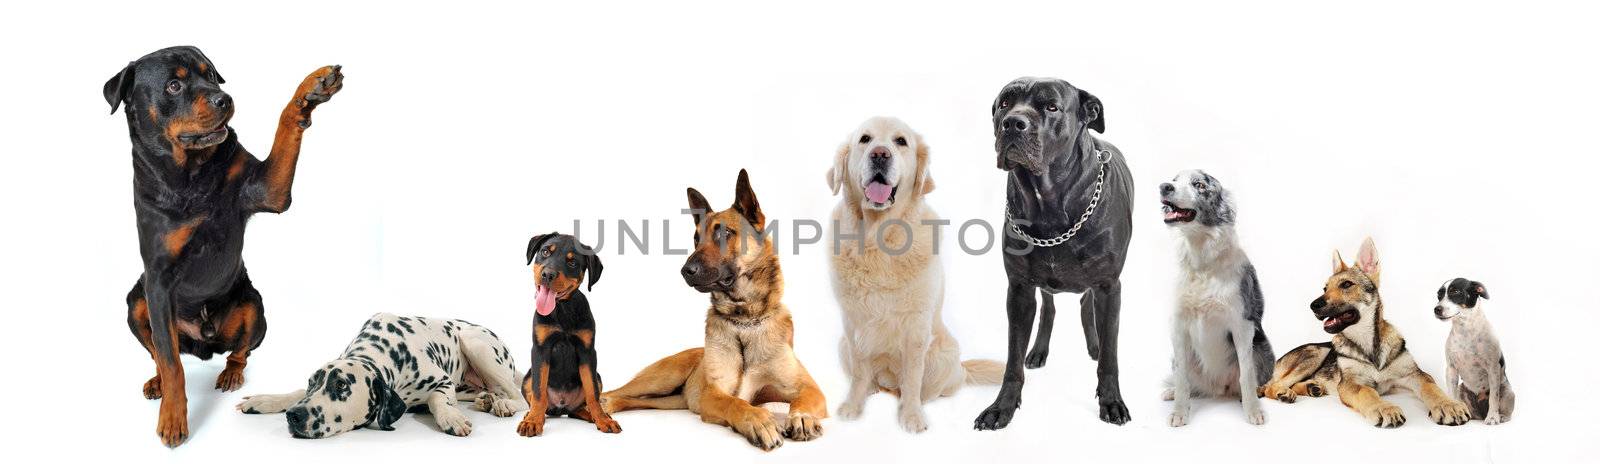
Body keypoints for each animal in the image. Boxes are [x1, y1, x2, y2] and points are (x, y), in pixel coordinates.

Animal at [104, 46, 342, 444]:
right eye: (174, 85)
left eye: (212, 76)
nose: (224, 99)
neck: (191, 173)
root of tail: (202, 345)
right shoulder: (158, 280)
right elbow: (170, 361)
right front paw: (173, 417)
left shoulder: (269, 190)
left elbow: (285, 127)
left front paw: (311, 88)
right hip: (136, 302)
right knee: (161, 352)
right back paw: (157, 382)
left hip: (253, 304)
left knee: (240, 350)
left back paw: (231, 373)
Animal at [236, 313, 524, 438]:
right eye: (312, 383)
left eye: (342, 385)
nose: (294, 416)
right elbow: (295, 391)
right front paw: (264, 400)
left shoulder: (442, 381)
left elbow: (436, 399)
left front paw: (450, 417)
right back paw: (487, 400)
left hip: (476, 345)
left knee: (518, 395)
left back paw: (503, 404)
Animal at [512, 233, 617, 438]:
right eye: (545, 252)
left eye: (573, 262)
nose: (547, 274)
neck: (562, 309)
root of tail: (561, 407)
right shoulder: (540, 349)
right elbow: (538, 392)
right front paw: (532, 422)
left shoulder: (587, 352)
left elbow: (593, 393)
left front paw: (603, 419)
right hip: (528, 376)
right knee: (540, 401)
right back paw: (533, 415)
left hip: (597, 376)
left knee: (578, 408)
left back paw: (591, 415)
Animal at [598, 169, 825, 448]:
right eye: (696, 239)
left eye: (724, 233)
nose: (685, 271)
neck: (744, 321)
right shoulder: (714, 393)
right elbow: (736, 403)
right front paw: (758, 420)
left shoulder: (810, 388)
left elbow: (804, 399)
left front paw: (802, 417)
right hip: (662, 377)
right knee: (615, 390)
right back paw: (600, 404)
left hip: (671, 400)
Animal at [1254, 240, 1465, 428]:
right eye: (1325, 288)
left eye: (1346, 284)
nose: (1313, 305)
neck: (1369, 346)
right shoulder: (1350, 383)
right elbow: (1368, 393)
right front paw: (1383, 408)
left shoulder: (1415, 375)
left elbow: (1431, 388)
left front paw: (1448, 405)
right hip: (1315, 353)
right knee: (1271, 386)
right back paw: (1284, 392)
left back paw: (1312, 388)